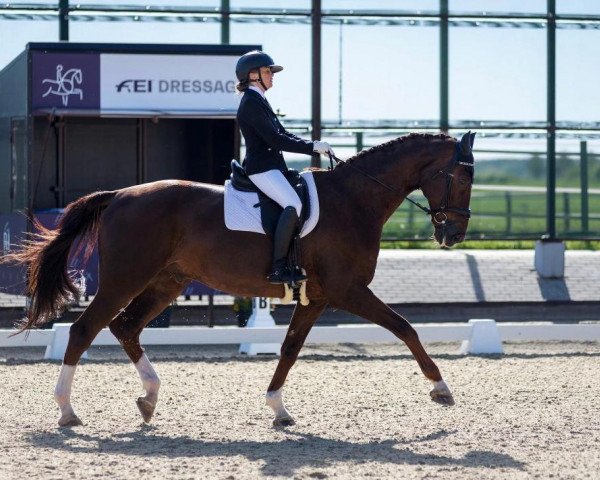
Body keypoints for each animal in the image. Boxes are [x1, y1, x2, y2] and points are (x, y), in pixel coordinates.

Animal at [3, 131, 474, 428]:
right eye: (462, 176)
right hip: (126, 278)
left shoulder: (318, 297)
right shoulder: (348, 290)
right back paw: (67, 412)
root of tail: (118, 195)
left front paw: (278, 409)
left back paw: (149, 398)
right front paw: (442, 389)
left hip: (166, 282)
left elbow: (289, 349)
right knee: (85, 329)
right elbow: (405, 327)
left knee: (125, 327)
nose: (453, 234)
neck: (353, 199)